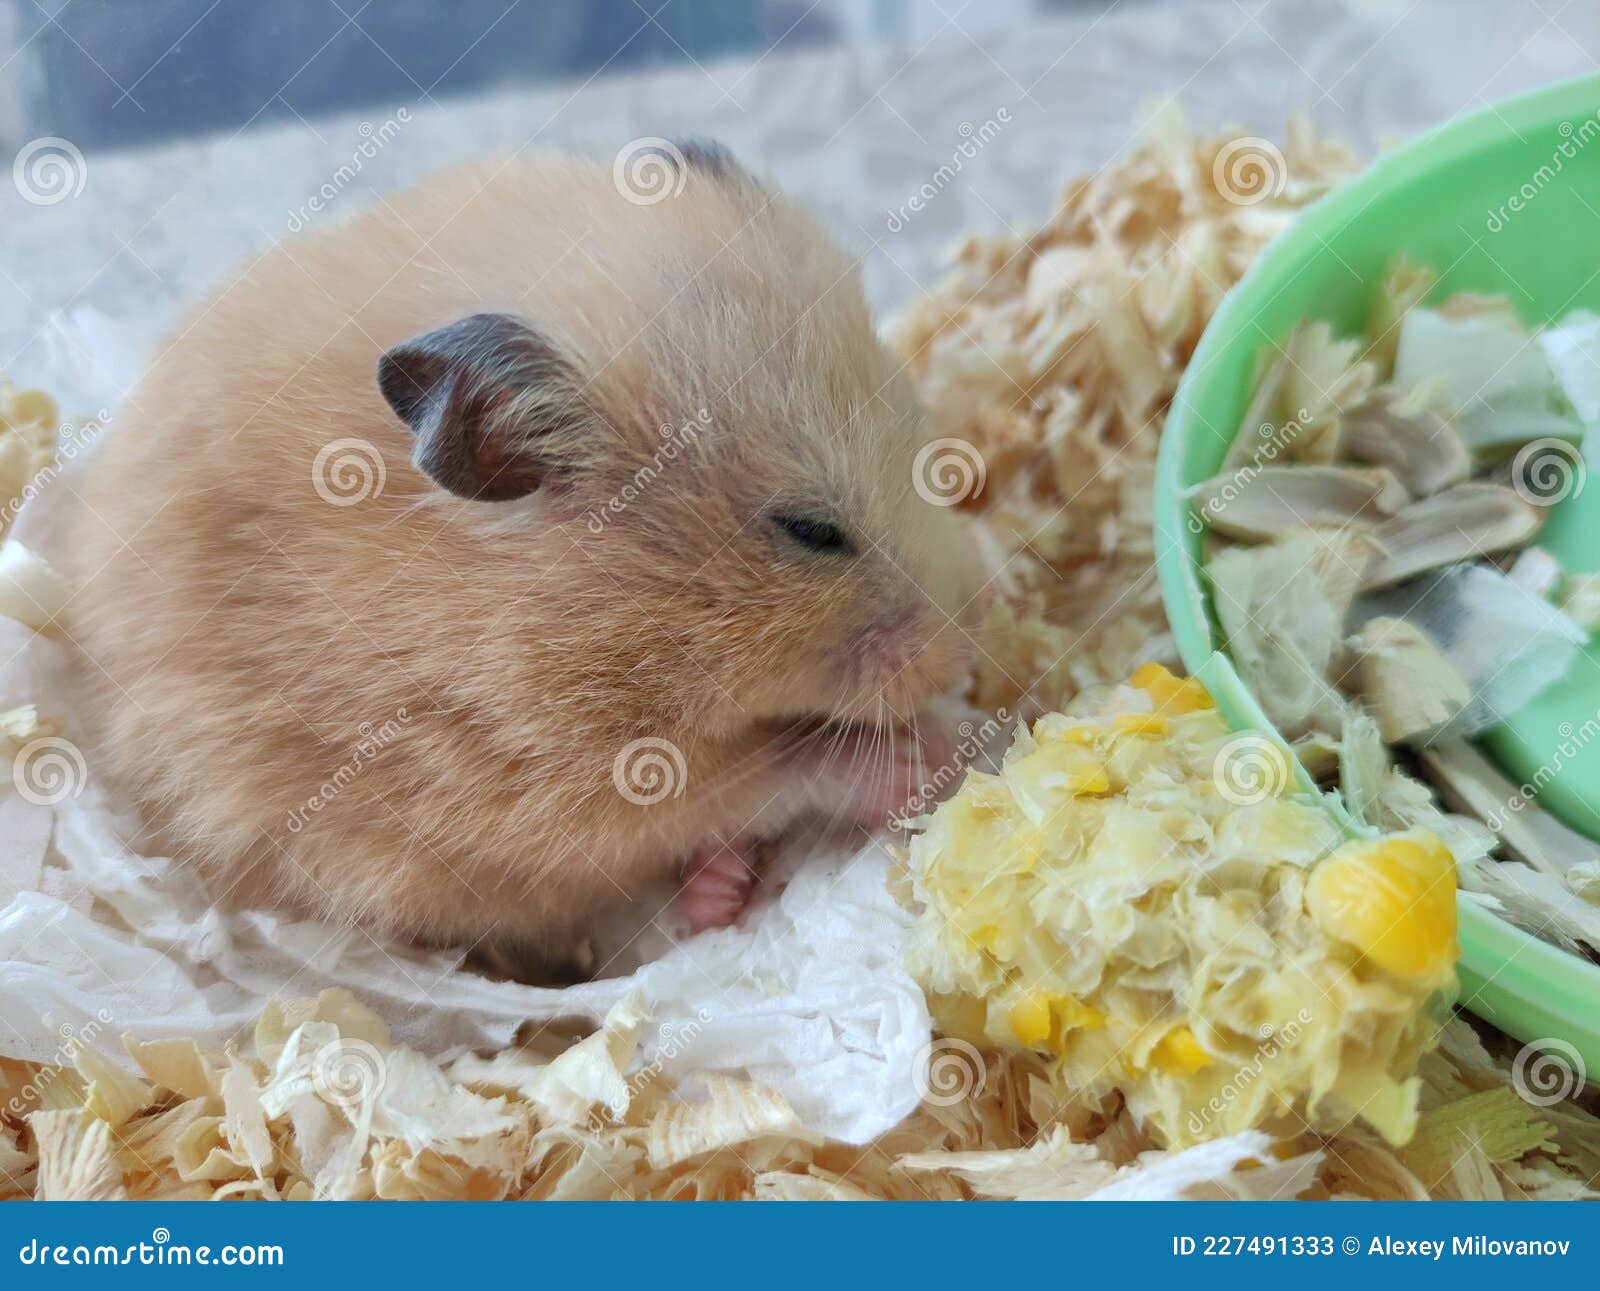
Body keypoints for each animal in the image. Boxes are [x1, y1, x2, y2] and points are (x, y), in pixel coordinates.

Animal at [63, 140, 981, 975]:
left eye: (916, 426)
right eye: (810, 529)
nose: (958, 657)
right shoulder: (537, 785)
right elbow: (762, 773)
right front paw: (927, 756)